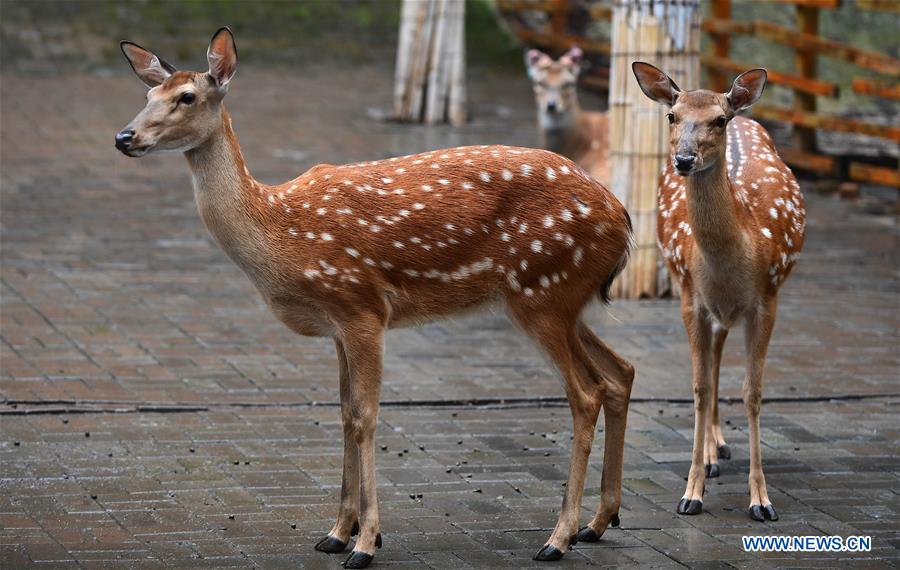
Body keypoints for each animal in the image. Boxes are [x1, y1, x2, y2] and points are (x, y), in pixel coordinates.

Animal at [632, 62, 808, 520]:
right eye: (672, 116)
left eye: (718, 120)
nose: (684, 159)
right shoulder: (690, 296)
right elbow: (699, 386)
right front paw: (691, 492)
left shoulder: (766, 299)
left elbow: (752, 393)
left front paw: (761, 500)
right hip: (704, 300)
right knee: (711, 362)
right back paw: (712, 454)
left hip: (732, 309)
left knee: (718, 354)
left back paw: (719, 448)